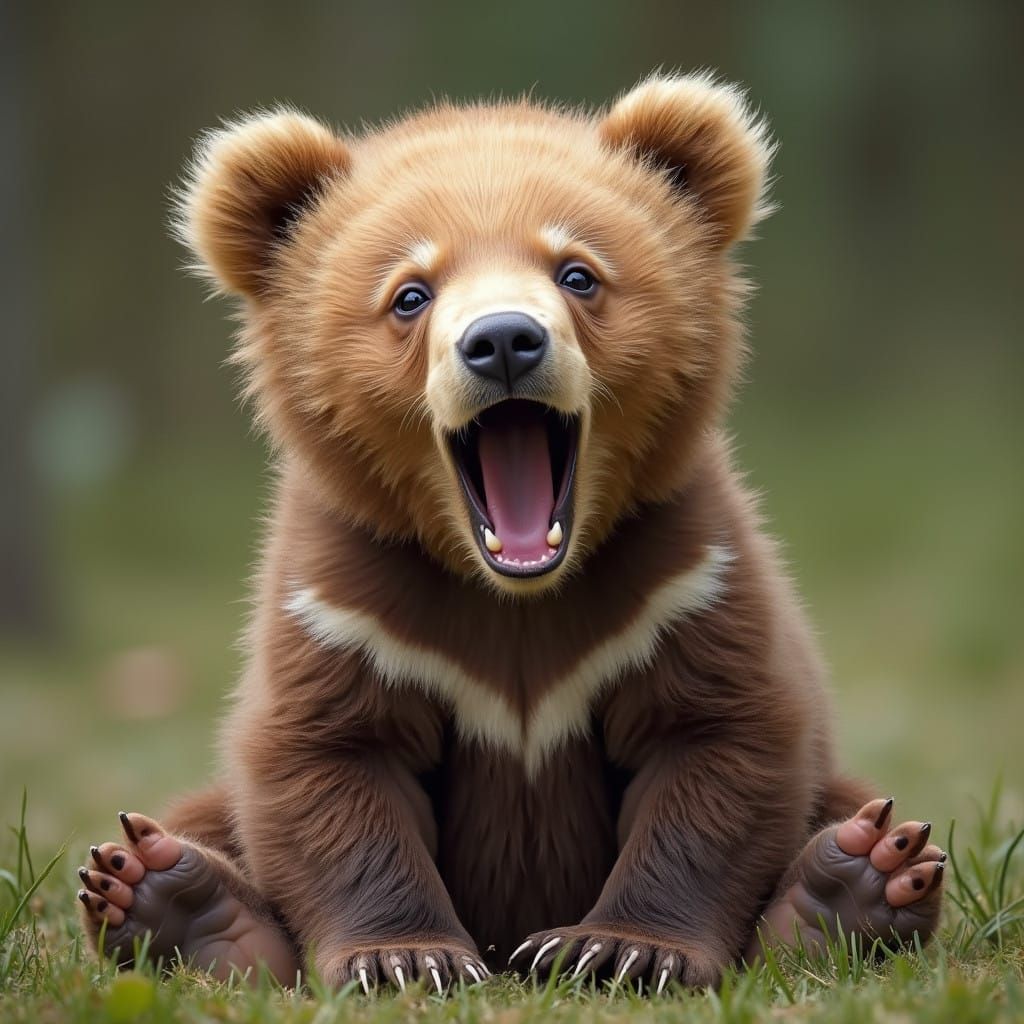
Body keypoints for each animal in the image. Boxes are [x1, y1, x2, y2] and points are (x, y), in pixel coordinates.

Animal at [76, 73, 945, 994]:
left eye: (578, 272)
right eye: (410, 291)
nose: (501, 341)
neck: (515, 588)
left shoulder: (681, 582)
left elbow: (718, 747)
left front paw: (621, 947)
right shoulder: (348, 606)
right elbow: (330, 765)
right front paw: (405, 956)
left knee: (853, 806)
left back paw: (856, 882)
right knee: (194, 818)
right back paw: (173, 897)